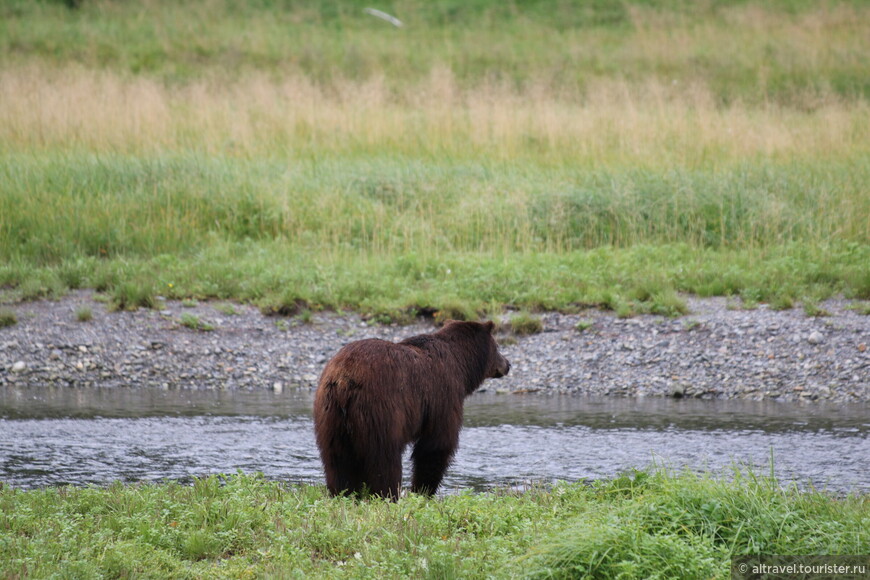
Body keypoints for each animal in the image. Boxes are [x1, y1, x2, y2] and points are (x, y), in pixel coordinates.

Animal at [316, 318, 510, 498]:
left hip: (331, 416)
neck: (461, 365)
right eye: (497, 346)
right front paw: (423, 491)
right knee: (384, 459)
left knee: (336, 460)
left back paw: (342, 493)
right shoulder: (443, 395)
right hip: (380, 410)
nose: (508, 364)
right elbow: (436, 445)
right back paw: (388, 495)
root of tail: (344, 379)